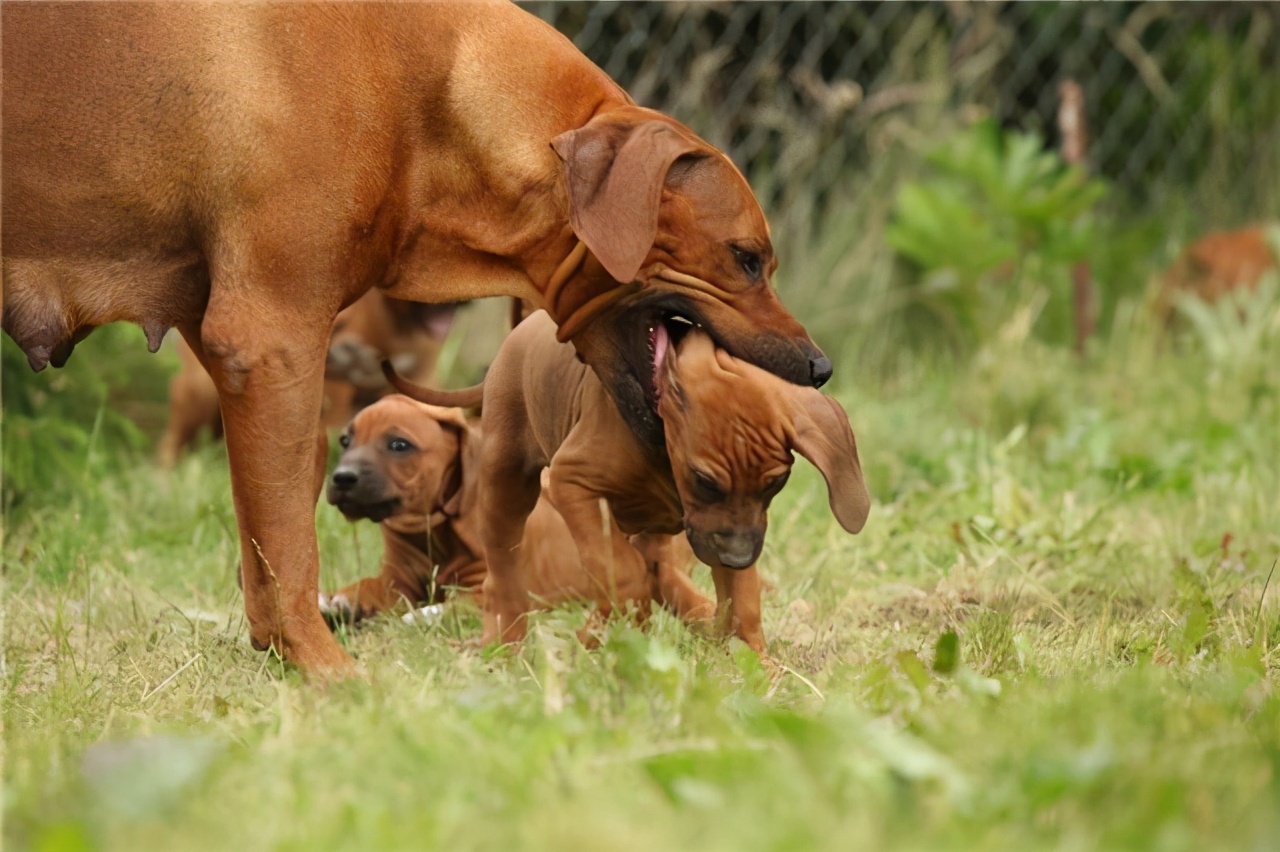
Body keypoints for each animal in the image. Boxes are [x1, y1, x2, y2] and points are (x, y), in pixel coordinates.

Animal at [317, 391, 721, 637]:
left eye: (399, 445)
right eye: (346, 441)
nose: (342, 478)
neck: (433, 531)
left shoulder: (487, 585)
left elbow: (450, 606)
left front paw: (415, 618)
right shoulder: (396, 580)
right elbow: (365, 586)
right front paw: (334, 602)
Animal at [389, 308, 870, 647]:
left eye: (776, 484)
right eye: (704, 481)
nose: (737, 558)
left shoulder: (728, 530)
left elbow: (742, 604)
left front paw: (758, 667)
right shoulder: (573, 484)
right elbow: (625, 578)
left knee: (656, 571)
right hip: (506, 484)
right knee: (506, 569)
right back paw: (509, 641)